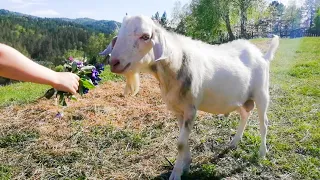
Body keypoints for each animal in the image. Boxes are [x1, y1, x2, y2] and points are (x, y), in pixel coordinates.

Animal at [104, 14, 278, 179]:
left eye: (145, 36)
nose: (114, 62)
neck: (176, 63)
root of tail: (263, 56)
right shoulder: (178, 110)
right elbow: (183, 140)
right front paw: (186, 164)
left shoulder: (190, 109)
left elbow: (180, 143)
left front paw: (176, 173)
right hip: (240, 98)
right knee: (244, 115)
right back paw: (234, 142)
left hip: (261, 93)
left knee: (264, 123)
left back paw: (262, 153)